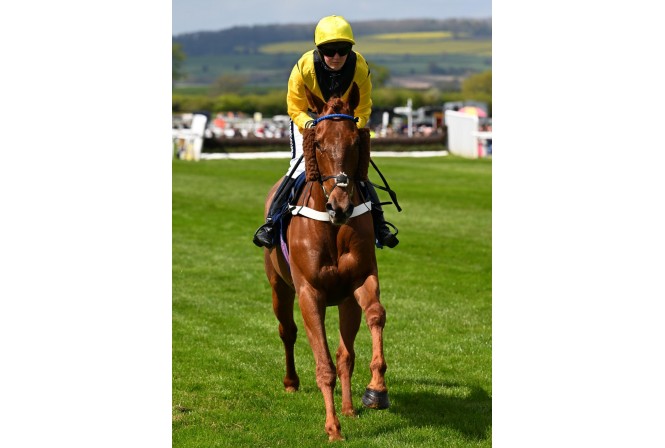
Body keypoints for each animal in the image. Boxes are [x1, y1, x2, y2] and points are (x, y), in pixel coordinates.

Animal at [260, 82, 390, 440]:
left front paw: (376, 390)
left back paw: (349, 407)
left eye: (355, 141)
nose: (340, 205)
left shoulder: (359, 280)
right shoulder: (309, 293)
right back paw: (291, 382)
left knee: (346, 354)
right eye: (317, 142)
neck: (332, 226)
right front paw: (333, 427)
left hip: (345, 301)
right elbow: (323, 364)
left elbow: (375, 316)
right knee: (287, 331)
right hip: (279, 286)